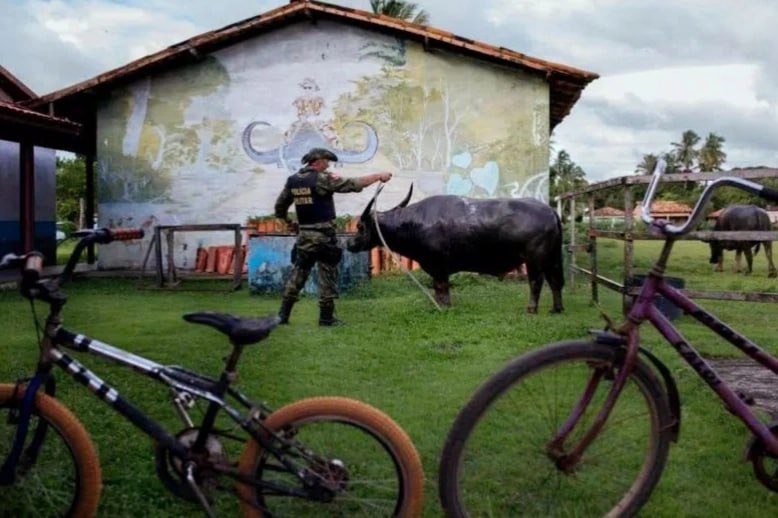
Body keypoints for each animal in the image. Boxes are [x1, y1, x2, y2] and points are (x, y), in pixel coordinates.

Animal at [348, 187, 564, 316]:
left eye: (359, 226)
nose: (349, 244)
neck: (415, 222)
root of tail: (549, 210)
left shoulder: (438, 266)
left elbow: (441, 287)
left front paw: (443, 306)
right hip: (551, 258)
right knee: (555, 282)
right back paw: (556, 309)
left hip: (535, 260)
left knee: (536, 282)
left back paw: (531, 309)